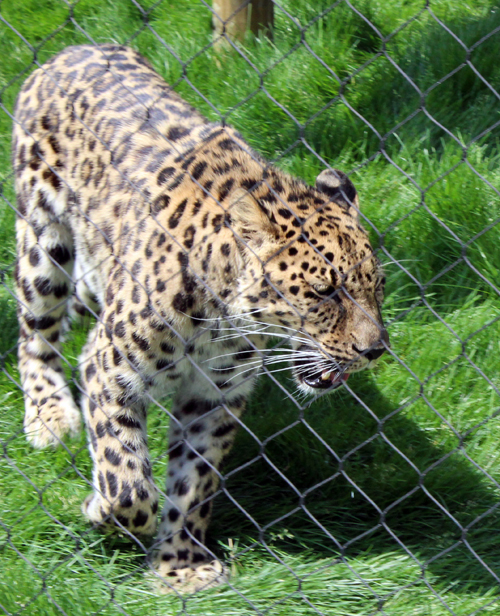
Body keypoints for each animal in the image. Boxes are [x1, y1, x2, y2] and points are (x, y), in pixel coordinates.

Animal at [10, 43, 386, 592]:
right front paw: (101, 507)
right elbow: (127, 483)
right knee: (33, 336)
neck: (222, 319)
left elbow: (194, 482)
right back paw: (49, 416)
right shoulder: (108, 366)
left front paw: (181, 564)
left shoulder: (214, 396)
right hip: (43, 241)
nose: (374, 350)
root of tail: (76, 49)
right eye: (324, 293)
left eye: (377, 288)